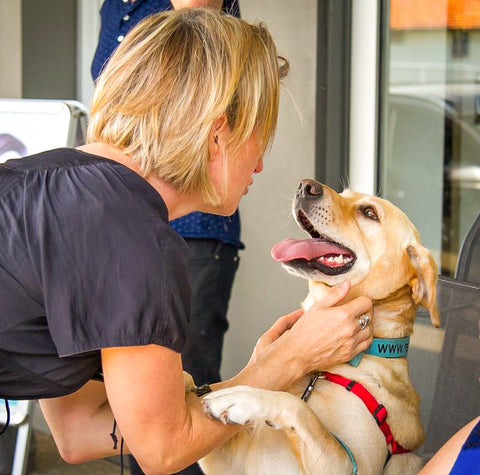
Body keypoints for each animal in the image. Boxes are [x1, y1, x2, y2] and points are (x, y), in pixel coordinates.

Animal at [198, 180, 438, 474]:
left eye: (369, 212)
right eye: (344, 194)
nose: (306, 186)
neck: (321, 372)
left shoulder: (353, 466)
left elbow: (301, 410)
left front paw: (242, 397)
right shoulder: (225, 463)